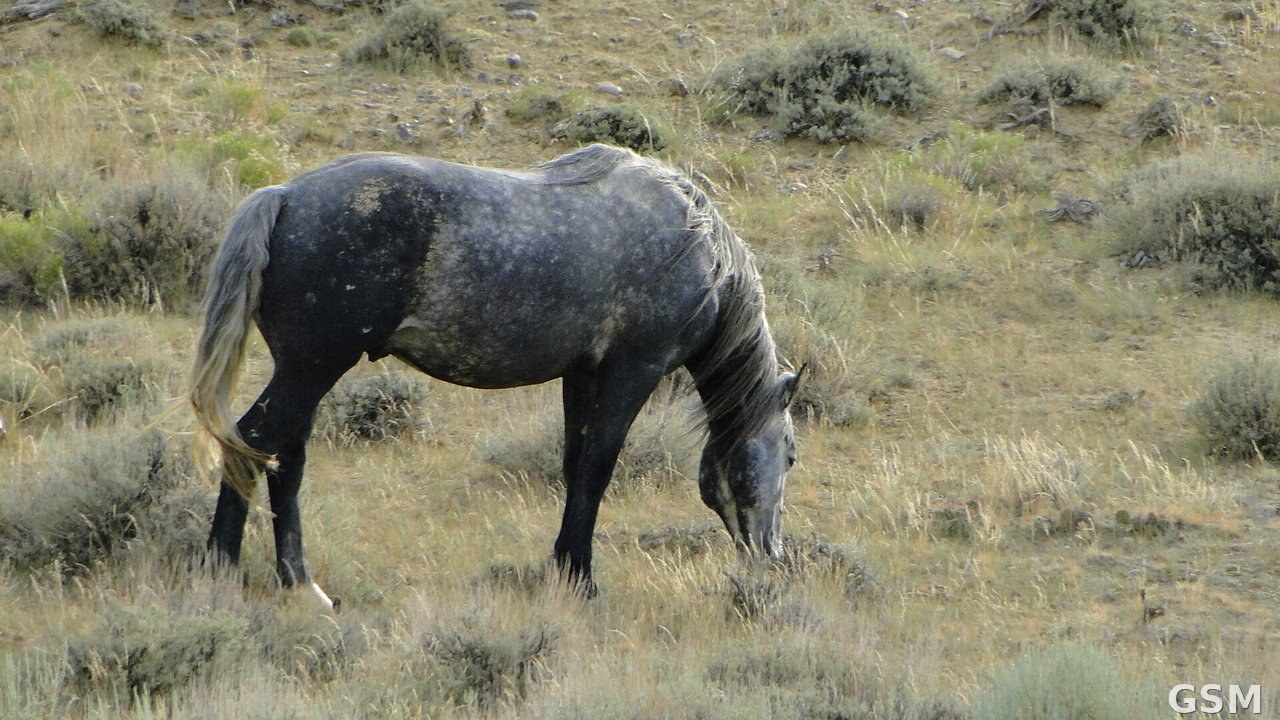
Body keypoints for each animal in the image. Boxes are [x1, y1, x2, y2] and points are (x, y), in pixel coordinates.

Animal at [189, 143, 803, 608]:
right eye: (792, 455)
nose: (773, 555)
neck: (696, 246)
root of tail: (284, 197)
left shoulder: (582, 375)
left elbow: (576, 466)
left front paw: (566, 570)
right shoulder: (634, 369)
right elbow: (599, 468)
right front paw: (584, 583)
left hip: (307, 373)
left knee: (284, 459)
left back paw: (301, 586)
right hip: (312, 369)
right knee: (254, 442)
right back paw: (227, 576)